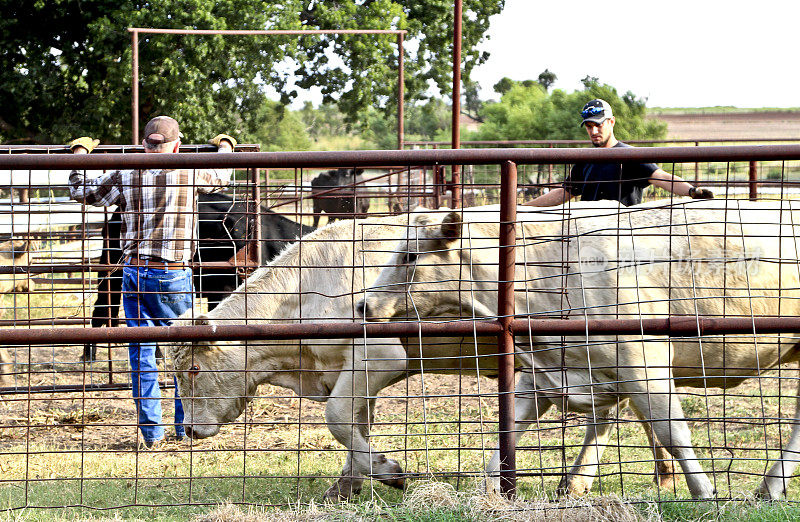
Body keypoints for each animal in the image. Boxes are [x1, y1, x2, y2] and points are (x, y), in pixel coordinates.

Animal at [169, 201, 676, 498]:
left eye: (192, 371)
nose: (189, 430)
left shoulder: (379, 358)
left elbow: (338, 419)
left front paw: (388, 471)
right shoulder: (351, 373)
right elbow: (356, 425)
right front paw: (348, 484)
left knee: (607, 414)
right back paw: (655, 471)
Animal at [360, 197, 800, 498]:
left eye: (410, 255)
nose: (364, 305)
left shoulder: (646, 367)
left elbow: (672, 432)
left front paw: (705, 494)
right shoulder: (546, 373)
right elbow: (513, 428)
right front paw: (491, 491)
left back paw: (770, 487)